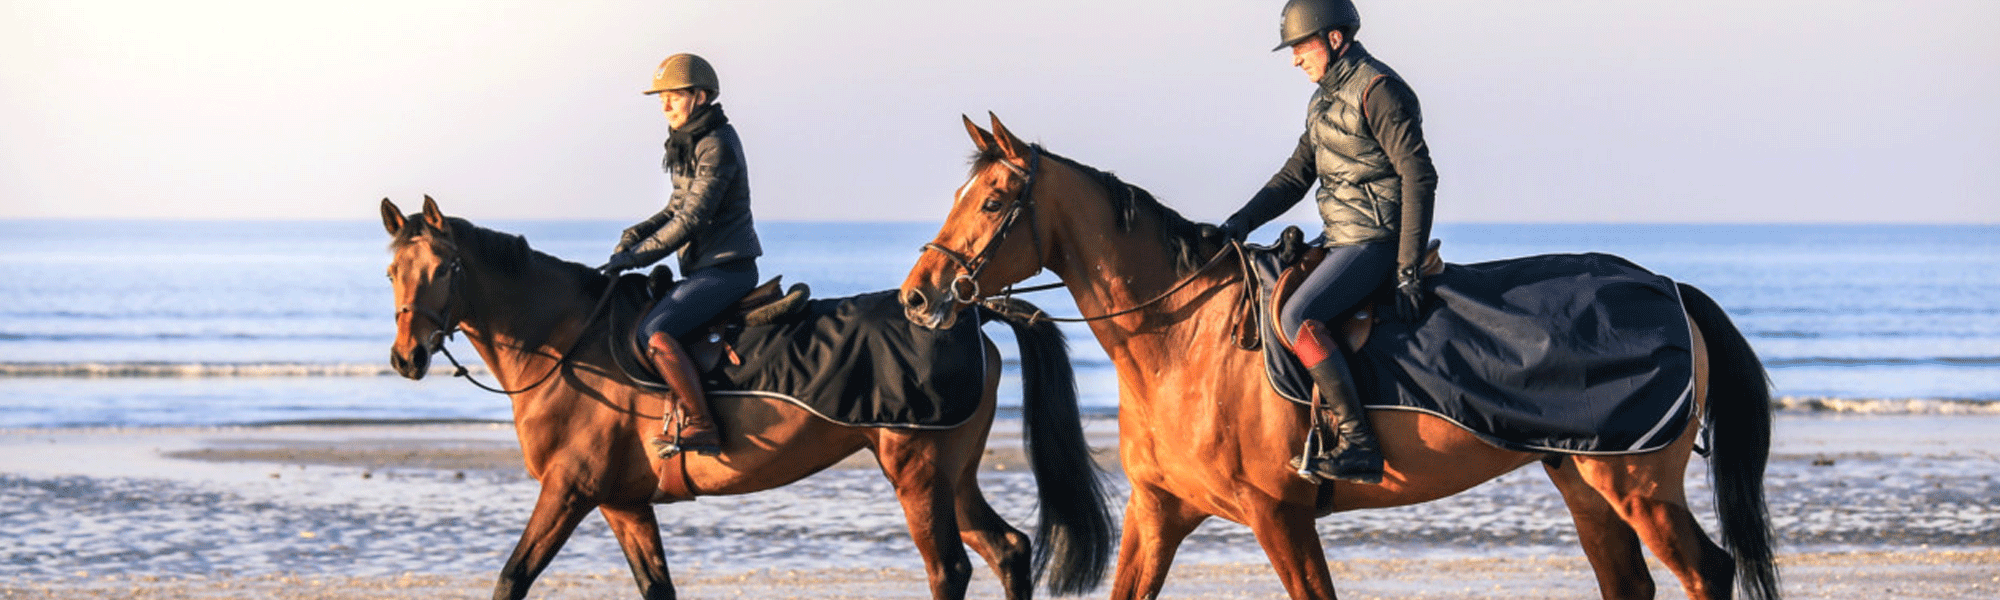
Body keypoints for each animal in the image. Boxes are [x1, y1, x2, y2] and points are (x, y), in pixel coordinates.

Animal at [382, 198, 1120, 600]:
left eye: (444, 268)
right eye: (393, 270)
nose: (406, 357)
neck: (566, 341)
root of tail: (969, 310)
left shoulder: (569, 490)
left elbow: (512, 578)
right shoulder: (622, 502)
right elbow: (657, 586)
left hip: (916, 471)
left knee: (951, 569)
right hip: (952, 475)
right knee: (1009, 550)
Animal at [900, 117, 1776, 600]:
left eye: (990, 202)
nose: (917, 297)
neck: (1185, 342)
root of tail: (1667, 287)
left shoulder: (1277, 515)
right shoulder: (1160, 512)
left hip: (1637, 485)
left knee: (1708, 571)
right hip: (1585, 480)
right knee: (1630, 581)